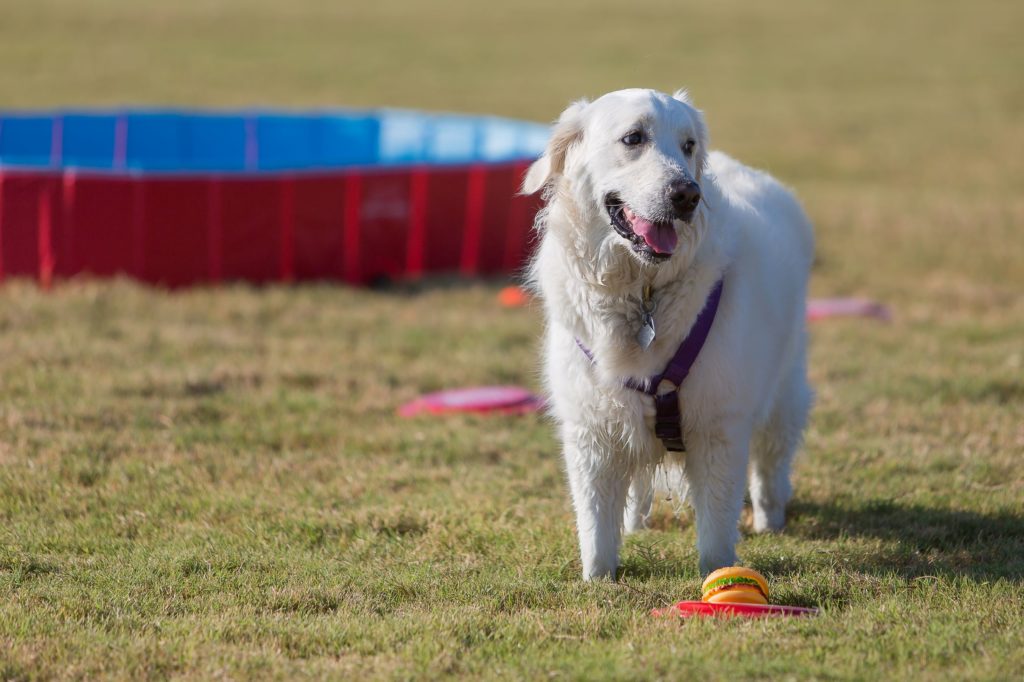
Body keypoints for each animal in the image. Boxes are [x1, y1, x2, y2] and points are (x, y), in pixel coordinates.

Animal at [524, 87, 811, 577]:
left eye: (688, 145)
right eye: (633, 138)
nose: (688, 195)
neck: (641, 291)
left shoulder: (718, 430)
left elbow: (716, 535)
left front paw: (719, 580)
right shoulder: (592, 432)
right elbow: (596, 528)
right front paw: (598, 581)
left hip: (783, 395)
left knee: (771, 467)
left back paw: (769, 520)